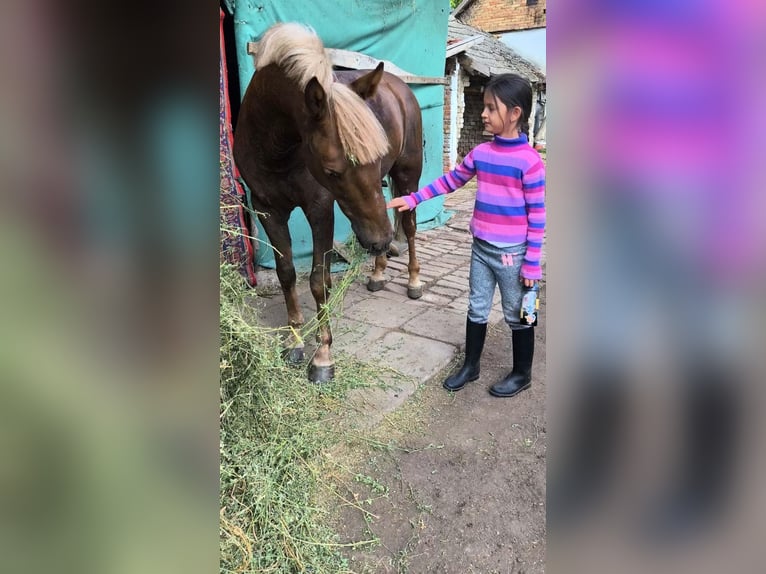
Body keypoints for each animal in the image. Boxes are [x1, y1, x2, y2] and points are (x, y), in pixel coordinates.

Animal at [233, 22, 424, 383]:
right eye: (333, 170)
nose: (377, 241)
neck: (275, 147)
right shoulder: (267, 209)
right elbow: (287, 273)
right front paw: (294, 342)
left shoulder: (319, 209)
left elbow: (318, 280)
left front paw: (322, 357)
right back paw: (378, 274)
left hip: (407, 175)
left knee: (409, 226)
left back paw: (414, 281)